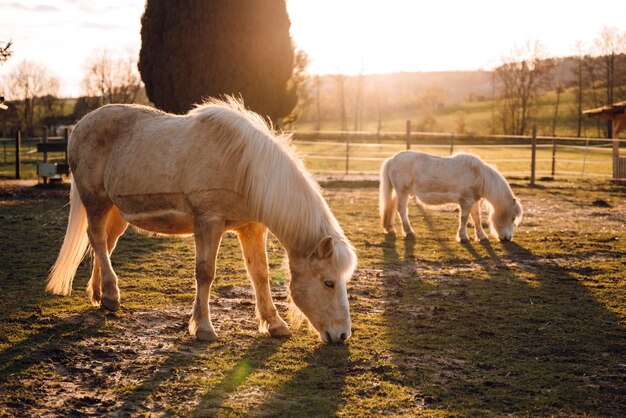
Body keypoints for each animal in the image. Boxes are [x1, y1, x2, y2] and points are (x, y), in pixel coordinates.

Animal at [46, 97, 356, 342]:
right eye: (329, 283)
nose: (342, 335)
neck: (243, 166)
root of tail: (81, 126)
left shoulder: (252, 228)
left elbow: (260, 274)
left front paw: (274, 324)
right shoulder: (209, 223)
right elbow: (205, 273)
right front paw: (203, 327)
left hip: (117, 211)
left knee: (105, 246)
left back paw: (99, 294)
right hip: (96, 201)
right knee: (98, 240)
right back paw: (110, 295)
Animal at [378, 151, 520, 242]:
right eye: (512, 218)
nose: (508, 238)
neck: (478, 175)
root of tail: (392, 159)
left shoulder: (473, 202)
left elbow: (476, 219)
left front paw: (482, 237)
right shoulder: (466, 202)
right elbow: (464, 219)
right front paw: (463, 237)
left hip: (398, 193)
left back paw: (390, 229)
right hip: (402, 192)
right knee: (402, 211)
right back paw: (409, 232)